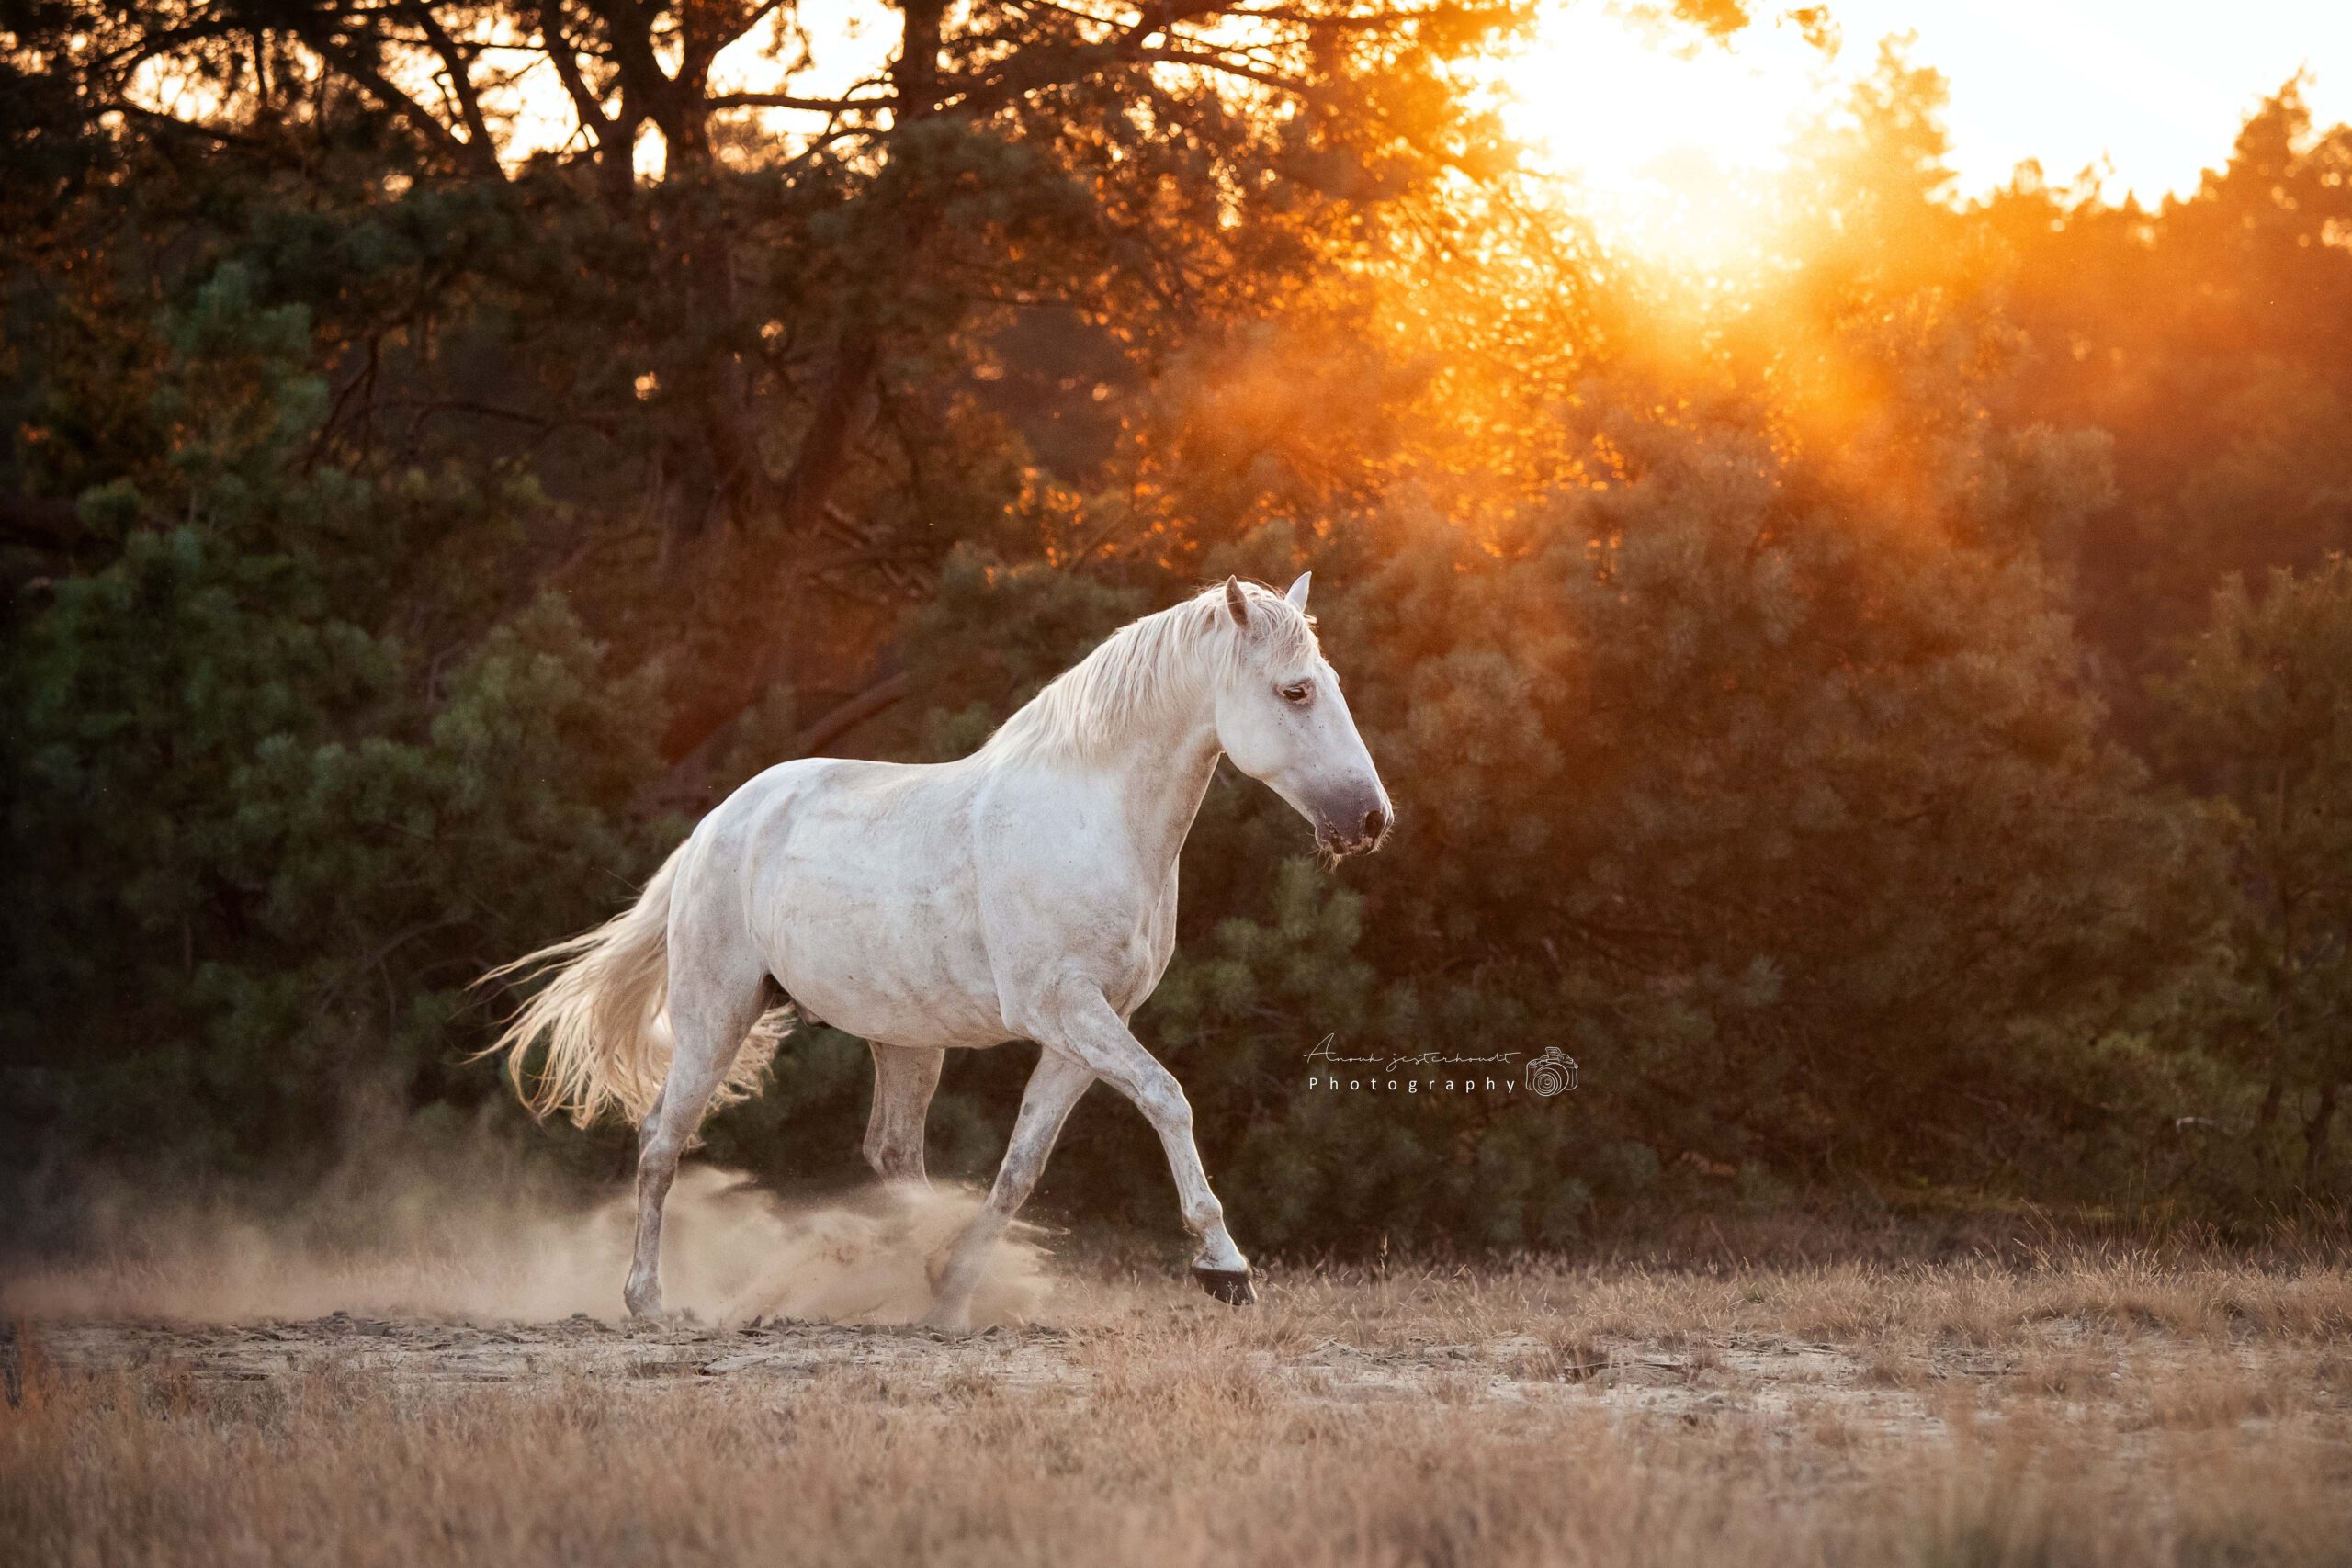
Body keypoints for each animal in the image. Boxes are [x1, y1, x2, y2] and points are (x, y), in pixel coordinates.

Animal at [484, 573, 1391, 1331]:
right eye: (1296, 690)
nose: (1371, 820)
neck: (1094, 816)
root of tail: (718, 822)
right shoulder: (1064, 1007)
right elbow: (1169, 1099)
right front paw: (1225, 1267)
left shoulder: (1089, 1027)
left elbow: (1023, 1165)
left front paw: (953, 1294)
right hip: (717, 1014)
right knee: (660, 1141)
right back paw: (647, 1301)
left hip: (905, 1039)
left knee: (889, 1151)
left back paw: (919, 1266)